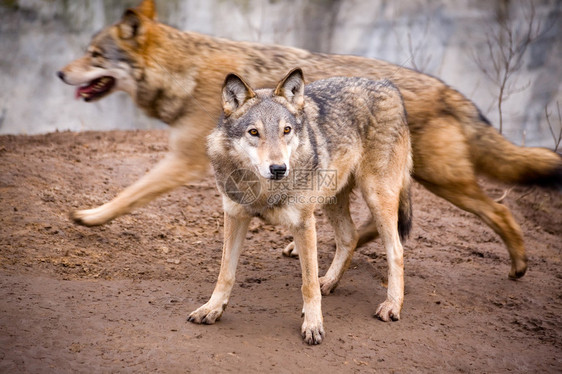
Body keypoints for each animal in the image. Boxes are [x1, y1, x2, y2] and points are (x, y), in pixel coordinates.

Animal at [58, 0, 560, 280]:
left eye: (94, 54)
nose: (61, 73)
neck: (188, 70)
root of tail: (450, 91)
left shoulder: (181, 161)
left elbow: (130, 193)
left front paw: (91, 216)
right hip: (387, 183)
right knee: (376, 228)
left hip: (435, 181)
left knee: (496, 210)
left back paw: (519, 265)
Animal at [188, 68, 412, 344]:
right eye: (254, 132)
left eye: (286, 130)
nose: (278, 168)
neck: (263, 189)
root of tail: (387, 84)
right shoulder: (234, 216)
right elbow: (225, 274)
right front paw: (212, 308)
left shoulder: (303, 224)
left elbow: (308, 284)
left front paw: (313, 324)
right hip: (333, 199)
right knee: (350, 236)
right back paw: (330, 282)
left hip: (376, 196)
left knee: (396, 250)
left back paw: (392, 305)